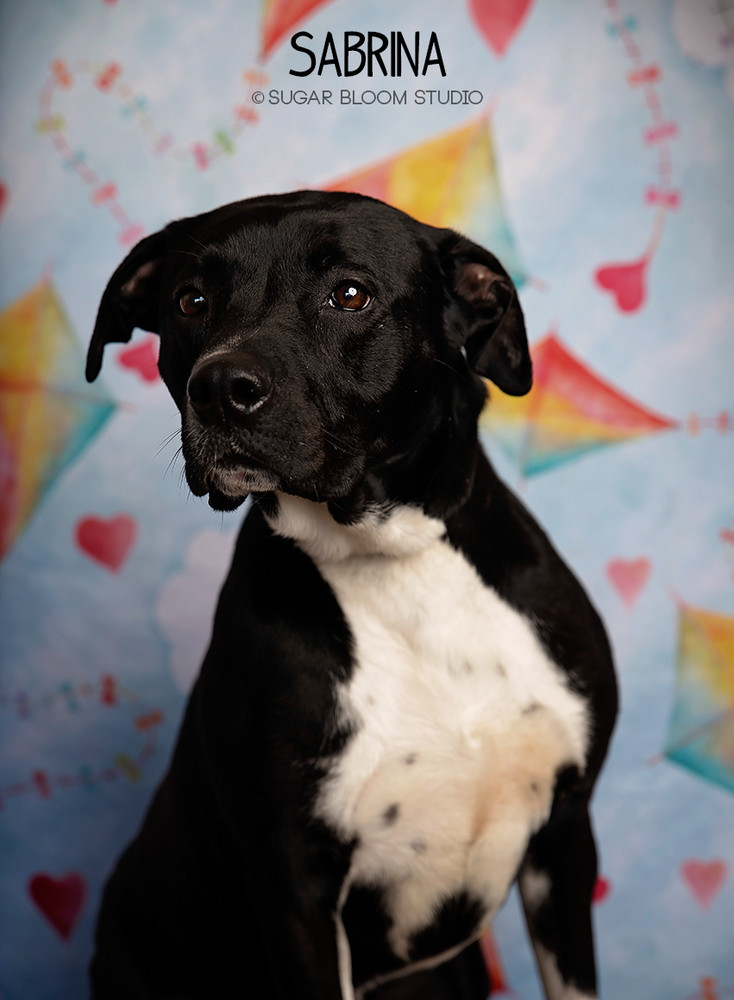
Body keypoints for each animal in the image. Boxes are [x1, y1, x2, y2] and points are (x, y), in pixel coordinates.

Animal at [86, 191, 620, 996]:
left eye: (348, 294)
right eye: (191, 300)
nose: (219, 387)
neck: (389, 557)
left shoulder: (565, 840)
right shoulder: (295, 892)